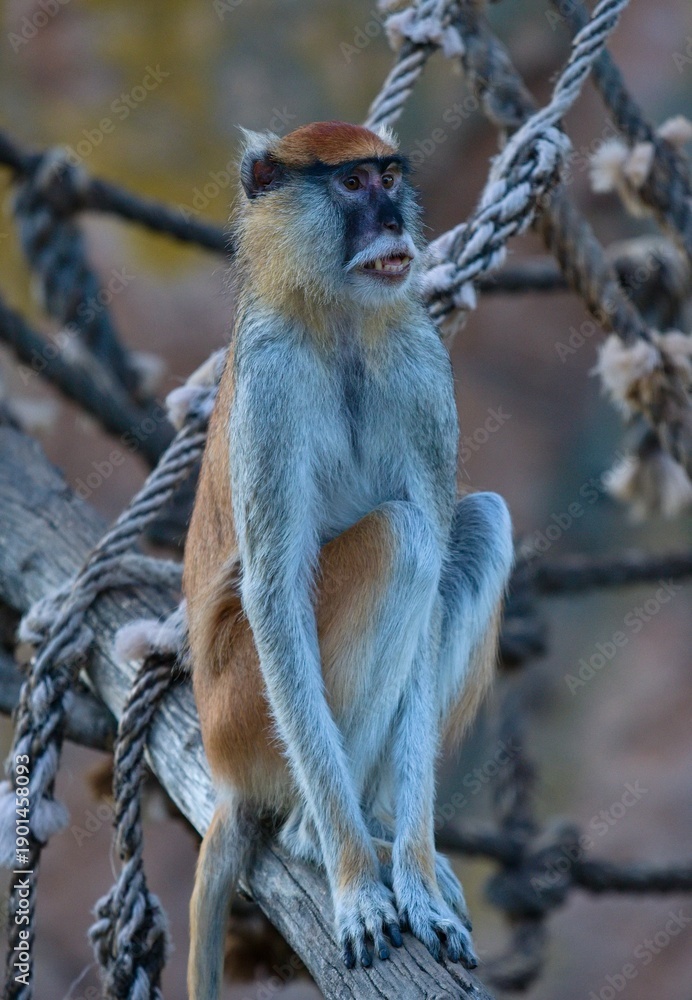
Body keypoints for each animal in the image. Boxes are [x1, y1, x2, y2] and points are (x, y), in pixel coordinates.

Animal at [184, 120, 514, 998]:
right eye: (353, 183)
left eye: (390, 177)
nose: (393, 221)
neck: (338, 321)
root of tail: (225, 773)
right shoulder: (271, 380)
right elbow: (275, 597)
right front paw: (361, 886)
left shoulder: (421, 366)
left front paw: (417, 878)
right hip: (241, 713)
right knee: (400, 540)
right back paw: (319, 835)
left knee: (474, 525)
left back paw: (386, 830)